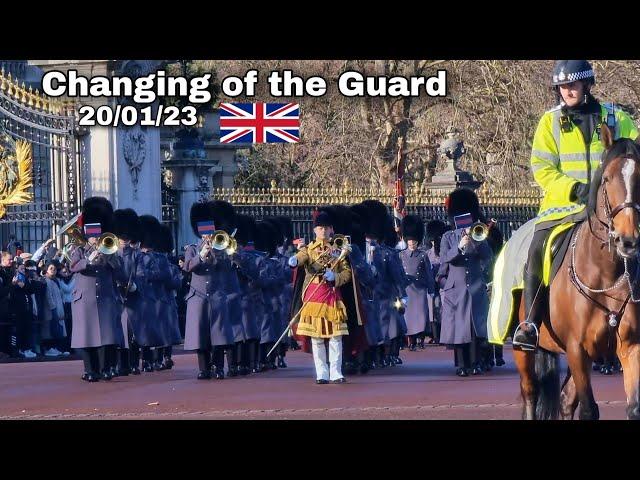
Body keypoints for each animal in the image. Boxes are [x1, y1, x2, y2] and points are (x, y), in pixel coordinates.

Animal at [512, 124, 640, 420]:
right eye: (606, 178)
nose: (627, 239)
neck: (605, 274)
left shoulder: (630, 347)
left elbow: (634, 407)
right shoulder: (576, 349)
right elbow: (589, 410)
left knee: (564, 399)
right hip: (525, 352)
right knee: (530, 393)